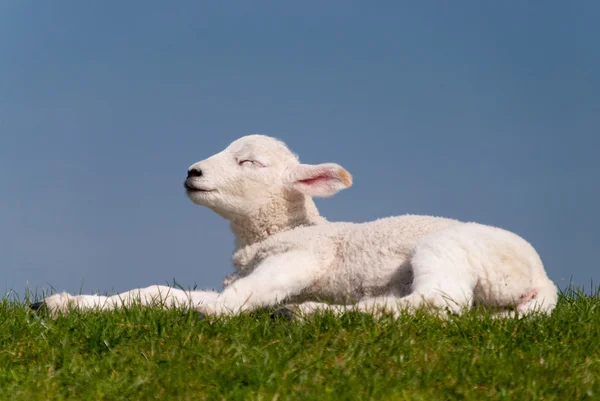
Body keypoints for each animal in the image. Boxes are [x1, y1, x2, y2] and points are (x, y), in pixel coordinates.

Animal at [34, 134, 556, 316]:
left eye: (249, 162)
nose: (192, 172)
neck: (285, 230)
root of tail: (541, 276)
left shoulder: (302, 258)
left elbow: (234, 300)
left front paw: (215, 312)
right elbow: (159, 292)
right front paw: (64, 304)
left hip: (449, 249)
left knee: (437, 303)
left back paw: (307, 313)